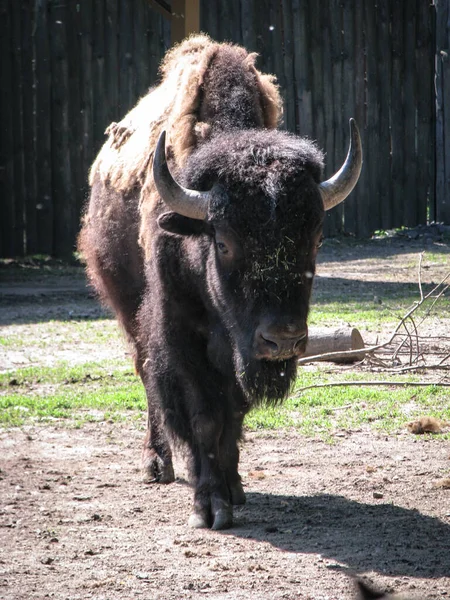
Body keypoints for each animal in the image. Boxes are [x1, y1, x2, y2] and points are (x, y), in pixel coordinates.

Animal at [79, 34, 362, 528]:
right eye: (225, 242)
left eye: (315, 239)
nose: (282, 340)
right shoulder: (182, 338)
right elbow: (204, 416)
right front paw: (209, 507)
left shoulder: (240, 352)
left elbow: (234, 413)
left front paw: (234, 488)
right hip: (128, 309)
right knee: (146, 374)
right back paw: (157, 465)